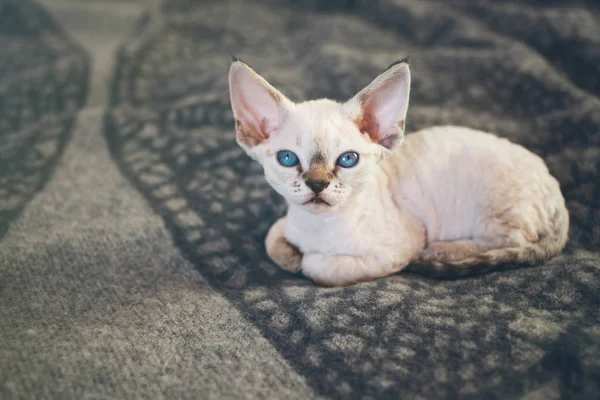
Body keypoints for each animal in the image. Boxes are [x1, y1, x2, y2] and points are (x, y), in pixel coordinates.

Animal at [227, 57, 568, 286]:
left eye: (347, 160)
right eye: (287, 159)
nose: (317, 184)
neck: (317, 227)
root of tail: (555, 188)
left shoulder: (400, 247)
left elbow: (318, 267)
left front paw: (304, 260)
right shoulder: (288, 220)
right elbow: (272, 239)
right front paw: (289, 255)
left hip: (493, 206)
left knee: (513, 241)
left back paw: (442, 251)